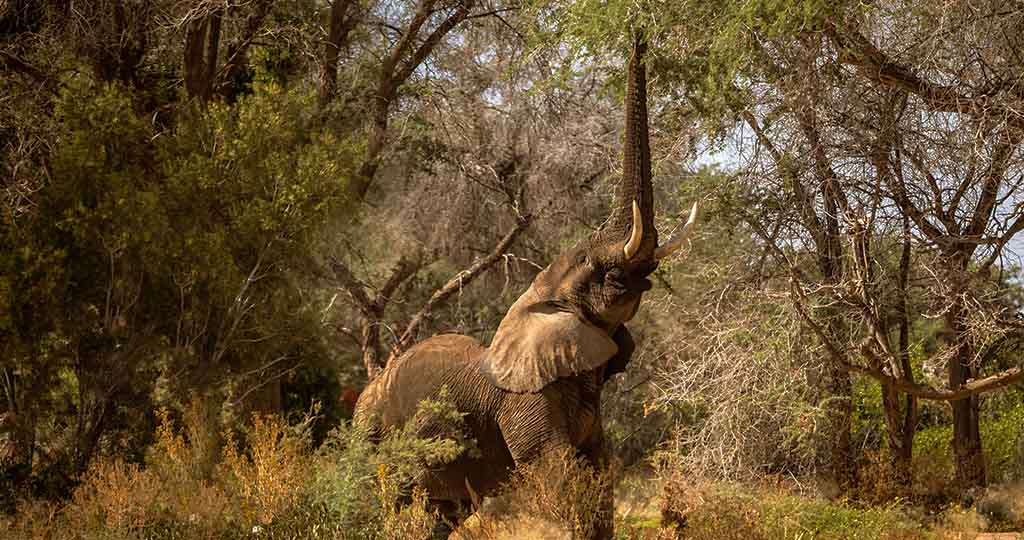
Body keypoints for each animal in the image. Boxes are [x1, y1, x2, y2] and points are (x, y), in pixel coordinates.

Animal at [353, 35, 698, 540]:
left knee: (444, 513)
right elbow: (557, 472)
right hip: (370, 429)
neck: (539, 299)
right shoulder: (524, 401)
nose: (638, 33)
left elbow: (598, 471)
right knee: (376, 501)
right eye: (593, 267)